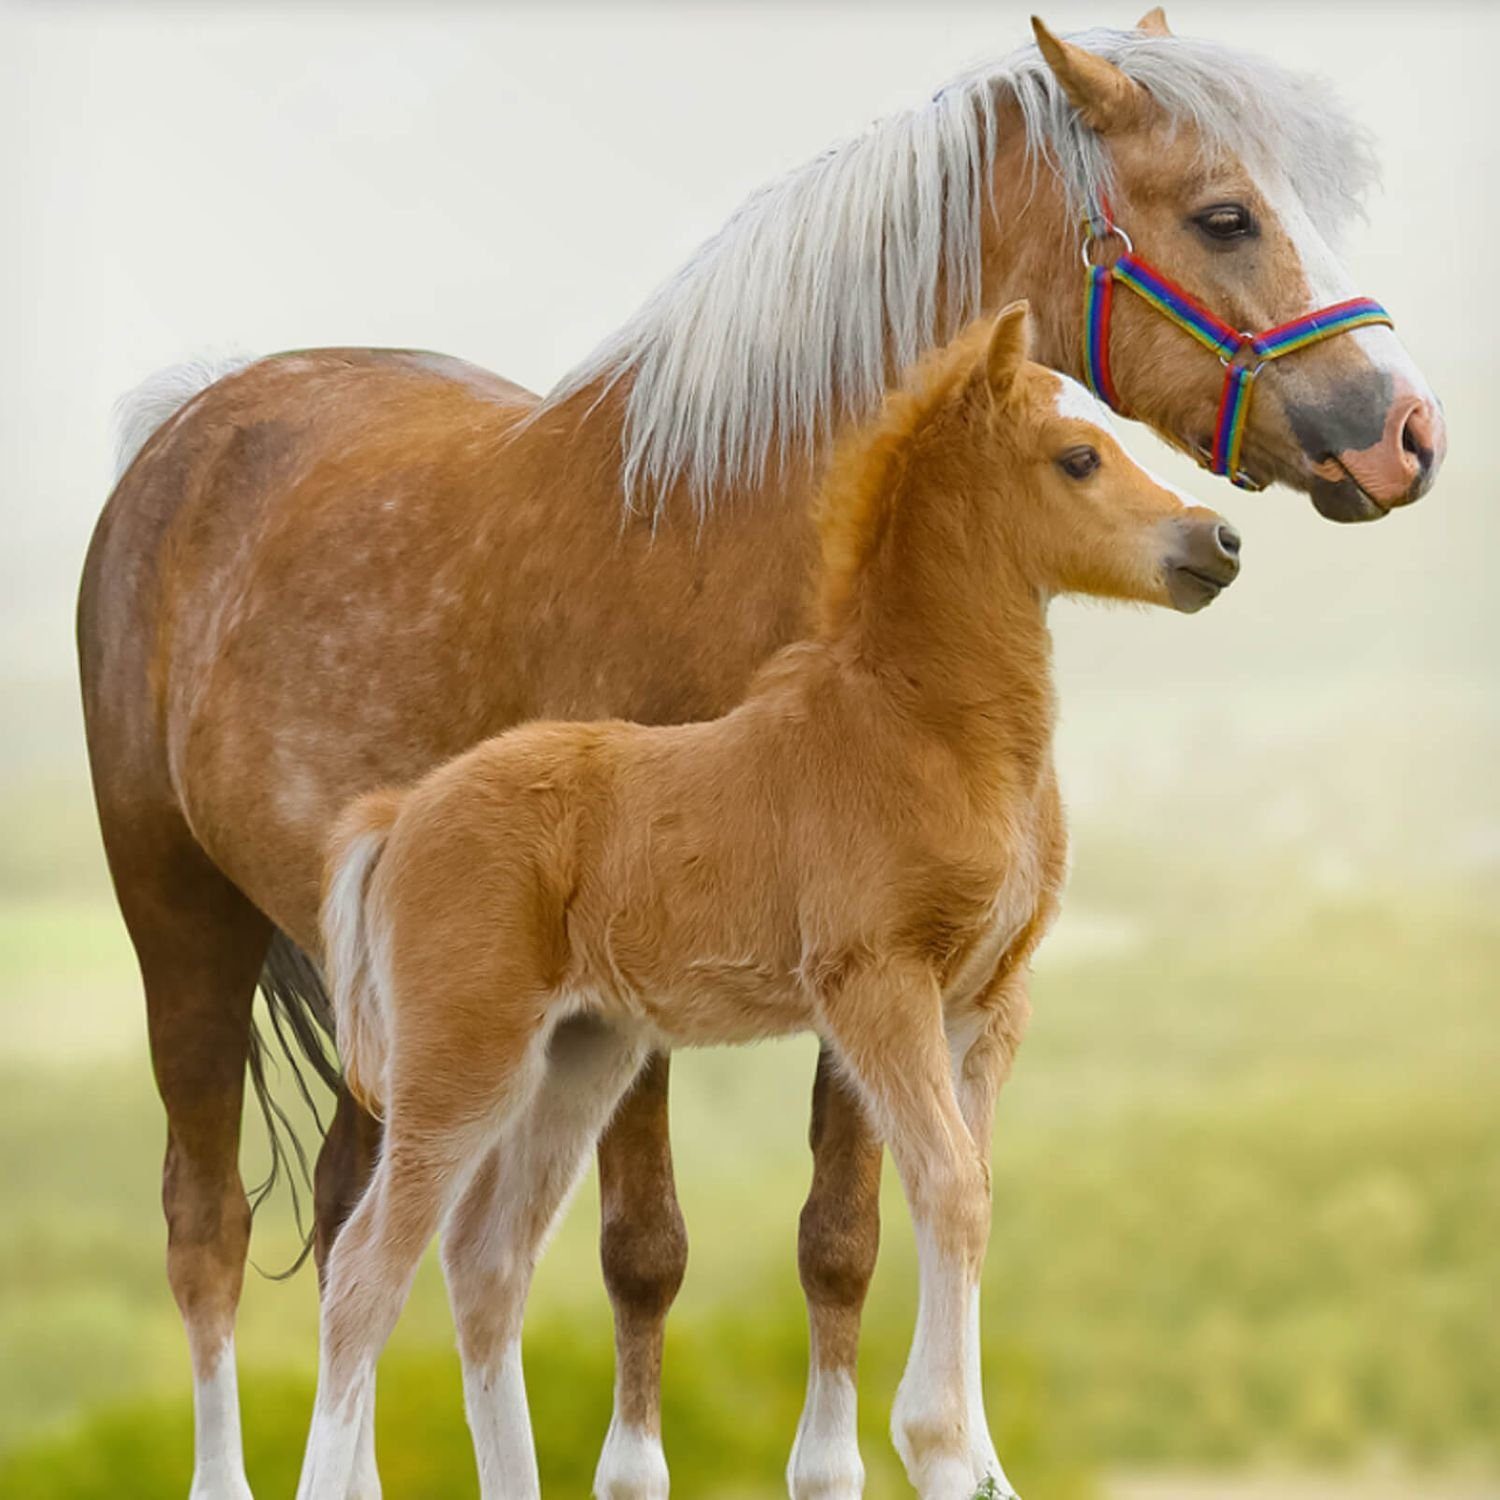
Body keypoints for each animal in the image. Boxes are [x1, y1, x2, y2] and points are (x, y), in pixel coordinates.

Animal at [300, 302, 1241, 1500]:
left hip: (582, 1052)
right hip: (463, 1056)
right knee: (366, 1271)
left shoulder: (986, 1004)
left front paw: (977, 1460)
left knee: (488, 1259)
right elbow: (949, 1189)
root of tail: (403, 812)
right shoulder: (877, 985)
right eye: (1078, 458)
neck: (926, 726)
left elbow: (974, 1189)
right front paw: (939, 1447)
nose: (1218, 543)